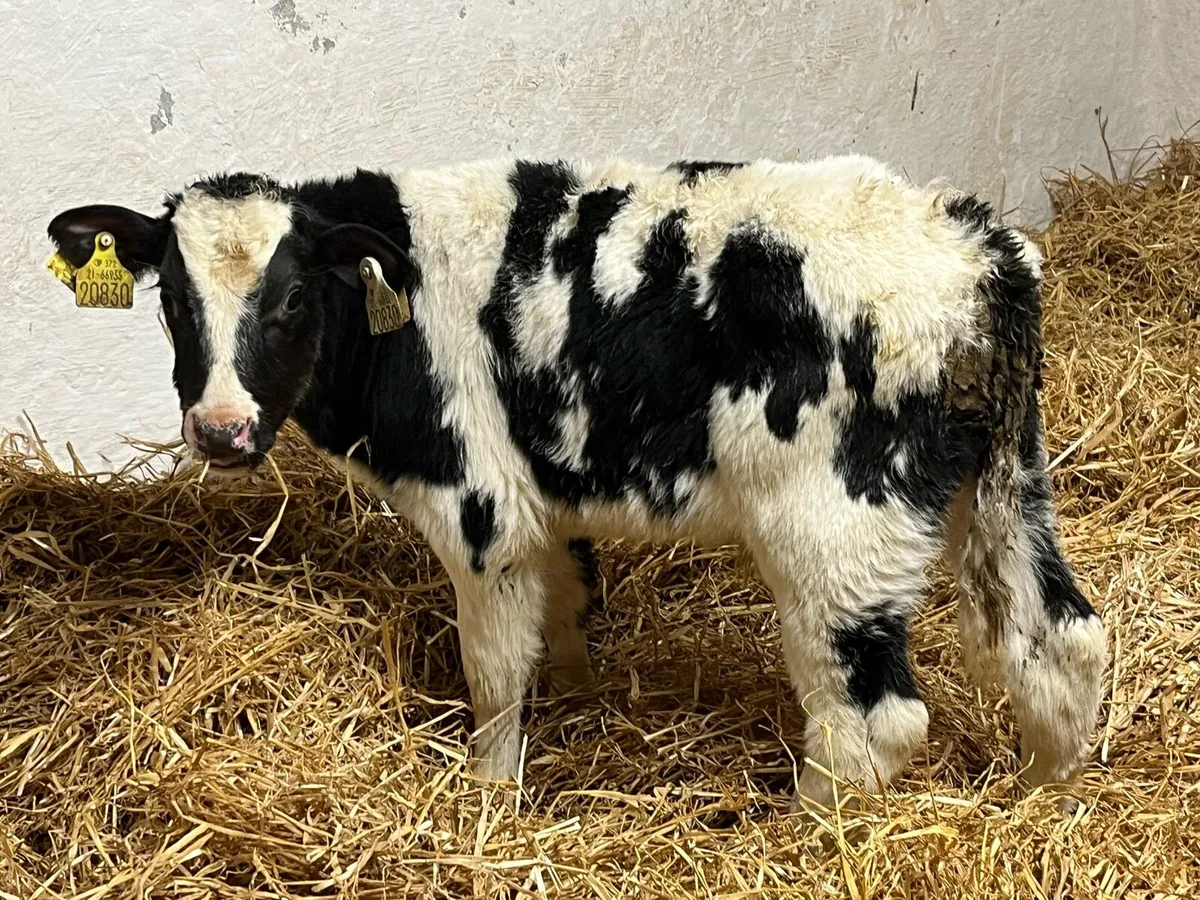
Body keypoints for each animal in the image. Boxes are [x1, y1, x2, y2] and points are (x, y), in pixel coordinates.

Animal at [45, 154, 1107, 812]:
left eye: (295, 295)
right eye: (174, 303)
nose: (220, 430)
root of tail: (980, 251)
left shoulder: (478, 509)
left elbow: (494, 675)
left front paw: (489, 802)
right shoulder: (542, 503)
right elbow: (565, 615)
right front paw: (582, 706)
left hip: (837, 535)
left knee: (871, 723)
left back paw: (808, 834)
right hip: (1004, 488)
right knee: (1057, 639)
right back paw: (1045, 798)